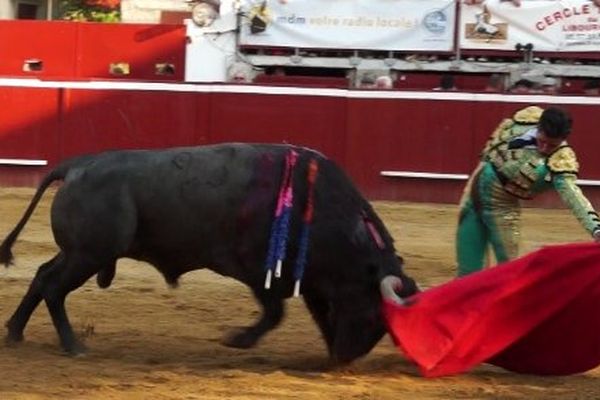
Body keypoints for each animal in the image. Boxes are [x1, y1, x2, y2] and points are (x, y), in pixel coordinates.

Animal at [0, 143, 418, 362]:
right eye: (373, 314)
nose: (346, 359)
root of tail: (77, 165)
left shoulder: (311, 279)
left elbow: (317, 314)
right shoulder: (259, 270)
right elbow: (275, 313)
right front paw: (238, 339)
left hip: (80, 252)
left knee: (42, 275)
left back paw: (16, 332)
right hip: (90, 253)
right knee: (54, 287)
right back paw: (73, 345)